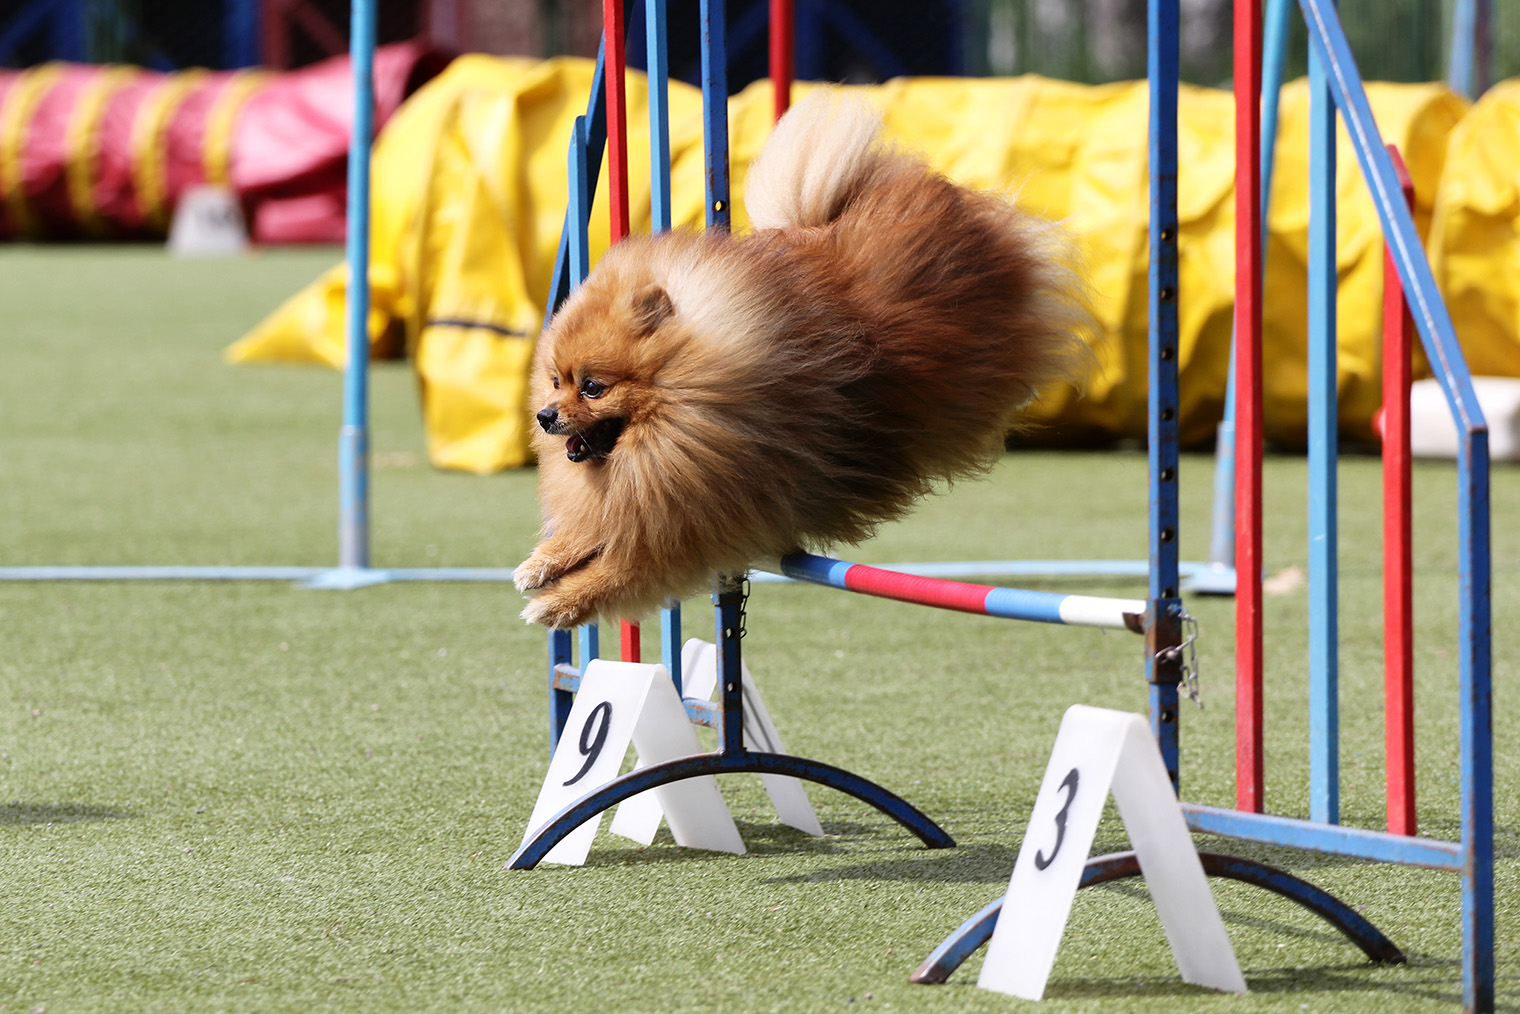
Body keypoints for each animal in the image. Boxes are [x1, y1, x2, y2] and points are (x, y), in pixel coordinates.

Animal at [516, 93, 1088, 626]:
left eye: (593, 387)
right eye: (555, 380)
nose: (544, 415)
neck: (689, 407)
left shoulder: (700, 516)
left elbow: (624, 566)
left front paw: (556, 603)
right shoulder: (661, 494)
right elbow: (597, 523)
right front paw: (541, 562)